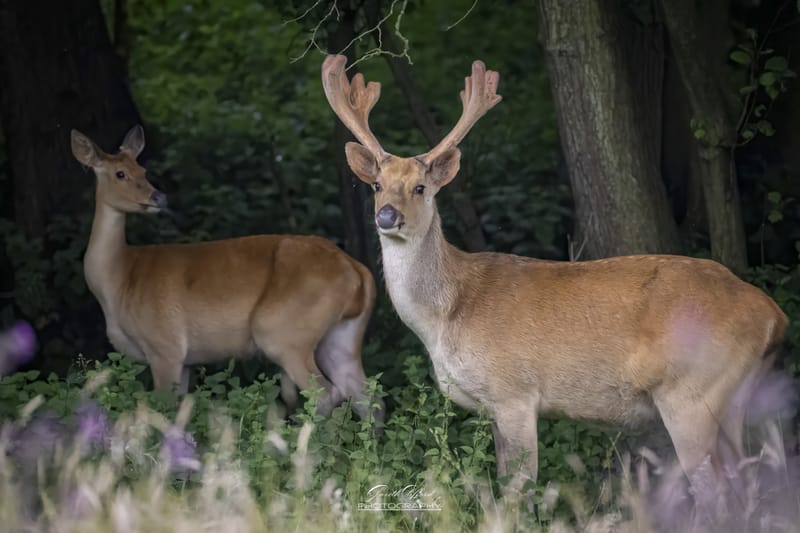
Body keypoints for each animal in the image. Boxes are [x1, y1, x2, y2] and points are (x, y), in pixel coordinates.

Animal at [70, 125, 385, 429]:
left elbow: (164, 411)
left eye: (142, 171)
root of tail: (357, 271)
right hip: (341, 337)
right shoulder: (184, 361)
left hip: (284, 333)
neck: (119, 280)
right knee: (367, 397)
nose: (158, 198)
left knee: (327, 394)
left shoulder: (164, 346)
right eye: (121, 173)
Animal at [321, 54, 791, 491]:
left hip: (691, 394)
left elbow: (518, 488)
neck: (448, 315)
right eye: (377, 185)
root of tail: (774, 315)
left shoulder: (514, 392)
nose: (386, 216)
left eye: (420, 187)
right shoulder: (492, 406)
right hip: (742, 398)